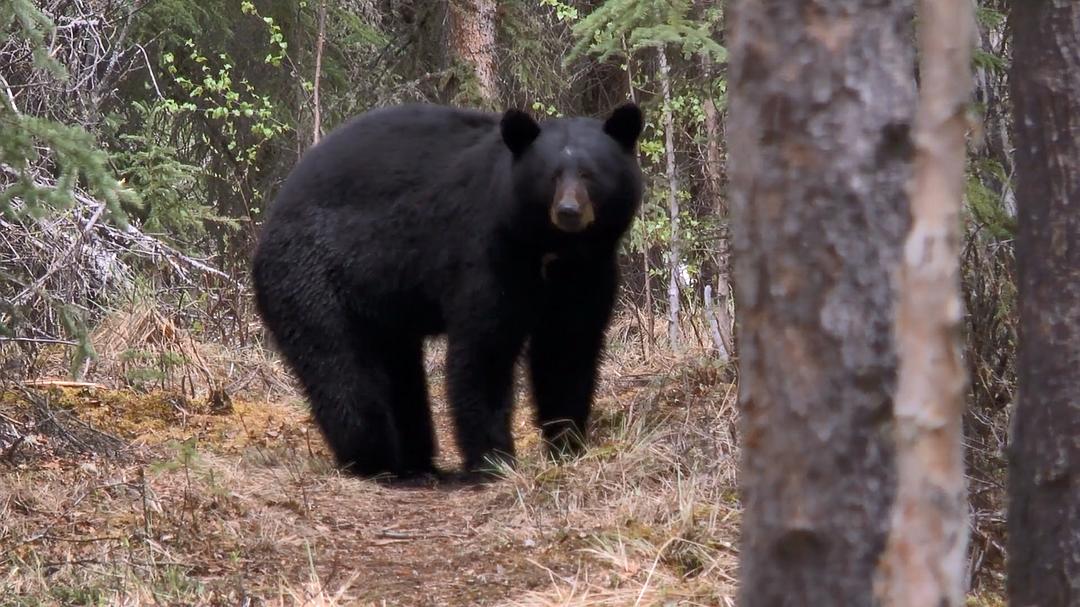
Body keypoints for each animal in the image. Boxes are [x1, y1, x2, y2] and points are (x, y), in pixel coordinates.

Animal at [252, 100, 639, 477]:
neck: (550, 249)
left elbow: (568, 347)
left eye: (590, 173)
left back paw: (417, 461)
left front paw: (568, 444)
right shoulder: (488, 254)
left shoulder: (588, 272)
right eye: (551, 176)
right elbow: (484, 349)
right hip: (312, 278)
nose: (568, 211)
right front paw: (493, 459)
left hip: (382, 306)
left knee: (399, 370)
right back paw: (377, 460)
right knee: (341, 369)